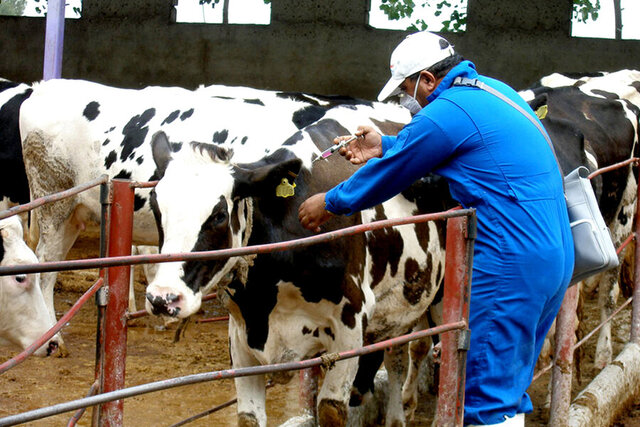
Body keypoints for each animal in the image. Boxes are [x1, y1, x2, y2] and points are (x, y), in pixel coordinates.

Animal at [144, 102, 456, 426]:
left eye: (218, 215)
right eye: (155, 207)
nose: (163, 298)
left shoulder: (350, 324)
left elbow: (331, 409)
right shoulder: (241, 335)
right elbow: (248, 417)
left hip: (440, 293)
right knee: (396, 353)